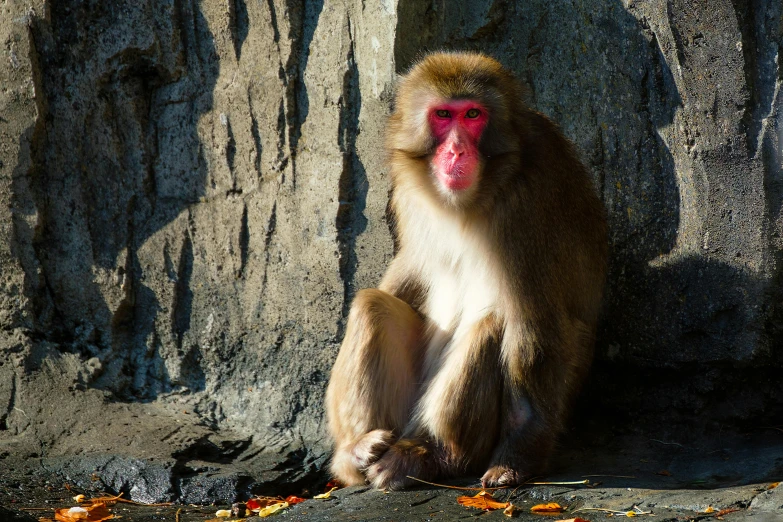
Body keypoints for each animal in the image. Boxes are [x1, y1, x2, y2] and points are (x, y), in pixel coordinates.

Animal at [324, 50, 608, 490]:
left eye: (473, 114)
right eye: (443, 114)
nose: (456, 151)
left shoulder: (530, 203)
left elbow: (537, 330)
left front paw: (516, 460)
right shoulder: (409, 194)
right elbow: (408, 273)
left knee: (495, 322)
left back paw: (432, 455)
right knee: (373, 305)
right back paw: (355, 454)